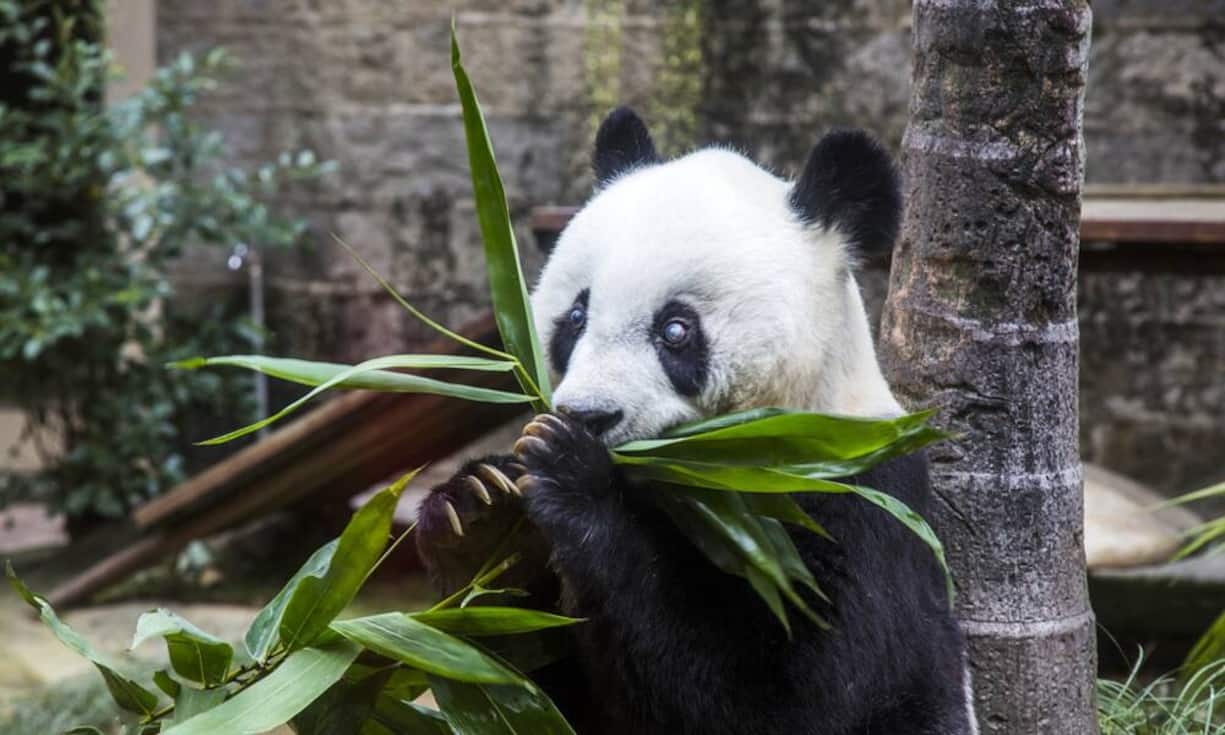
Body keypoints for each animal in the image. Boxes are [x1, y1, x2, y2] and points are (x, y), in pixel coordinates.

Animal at [416, 107, 978, 735]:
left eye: (675, 330)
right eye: (576, 317)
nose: (588, 415)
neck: (699, 471)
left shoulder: (858, 503)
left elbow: (786, 700)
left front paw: (571, 474)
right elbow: (517, 678)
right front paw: (479, 510)